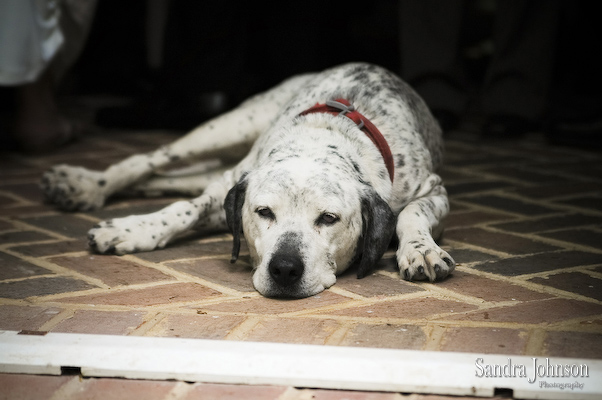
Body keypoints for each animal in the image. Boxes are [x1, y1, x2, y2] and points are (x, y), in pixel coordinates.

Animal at [41, 63, 454, 296]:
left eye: (329, 219)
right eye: (264, 212)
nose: (285, 269)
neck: (328, 134)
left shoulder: (432, 188)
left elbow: (409, 214)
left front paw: (420, 249)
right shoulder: (230, 186)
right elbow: (182, 211)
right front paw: (133, 229)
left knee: (177, 176)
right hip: (229, 125)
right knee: (151, 161)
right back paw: (83, 184)